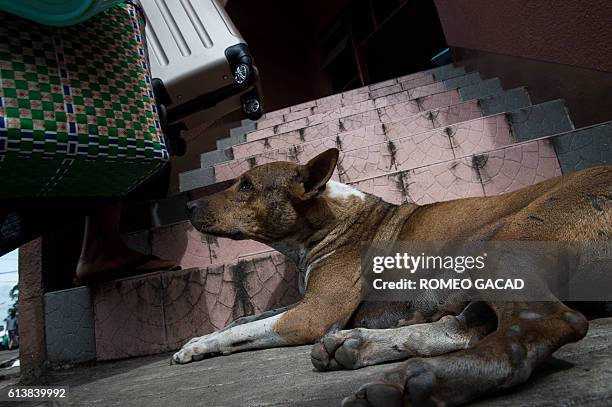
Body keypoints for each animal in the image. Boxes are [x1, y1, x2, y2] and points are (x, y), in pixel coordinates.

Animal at [173, 148, 612, 406]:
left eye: (246, 186)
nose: (188, 207)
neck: (324, 220)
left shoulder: (312, 315)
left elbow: (242, 329)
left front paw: (201, 344)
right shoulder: (302, 302)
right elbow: (246, 318)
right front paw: (196, 340)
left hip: (505, 242)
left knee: (541, 327)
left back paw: (423, 382)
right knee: (464, 326)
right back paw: (359, 344)